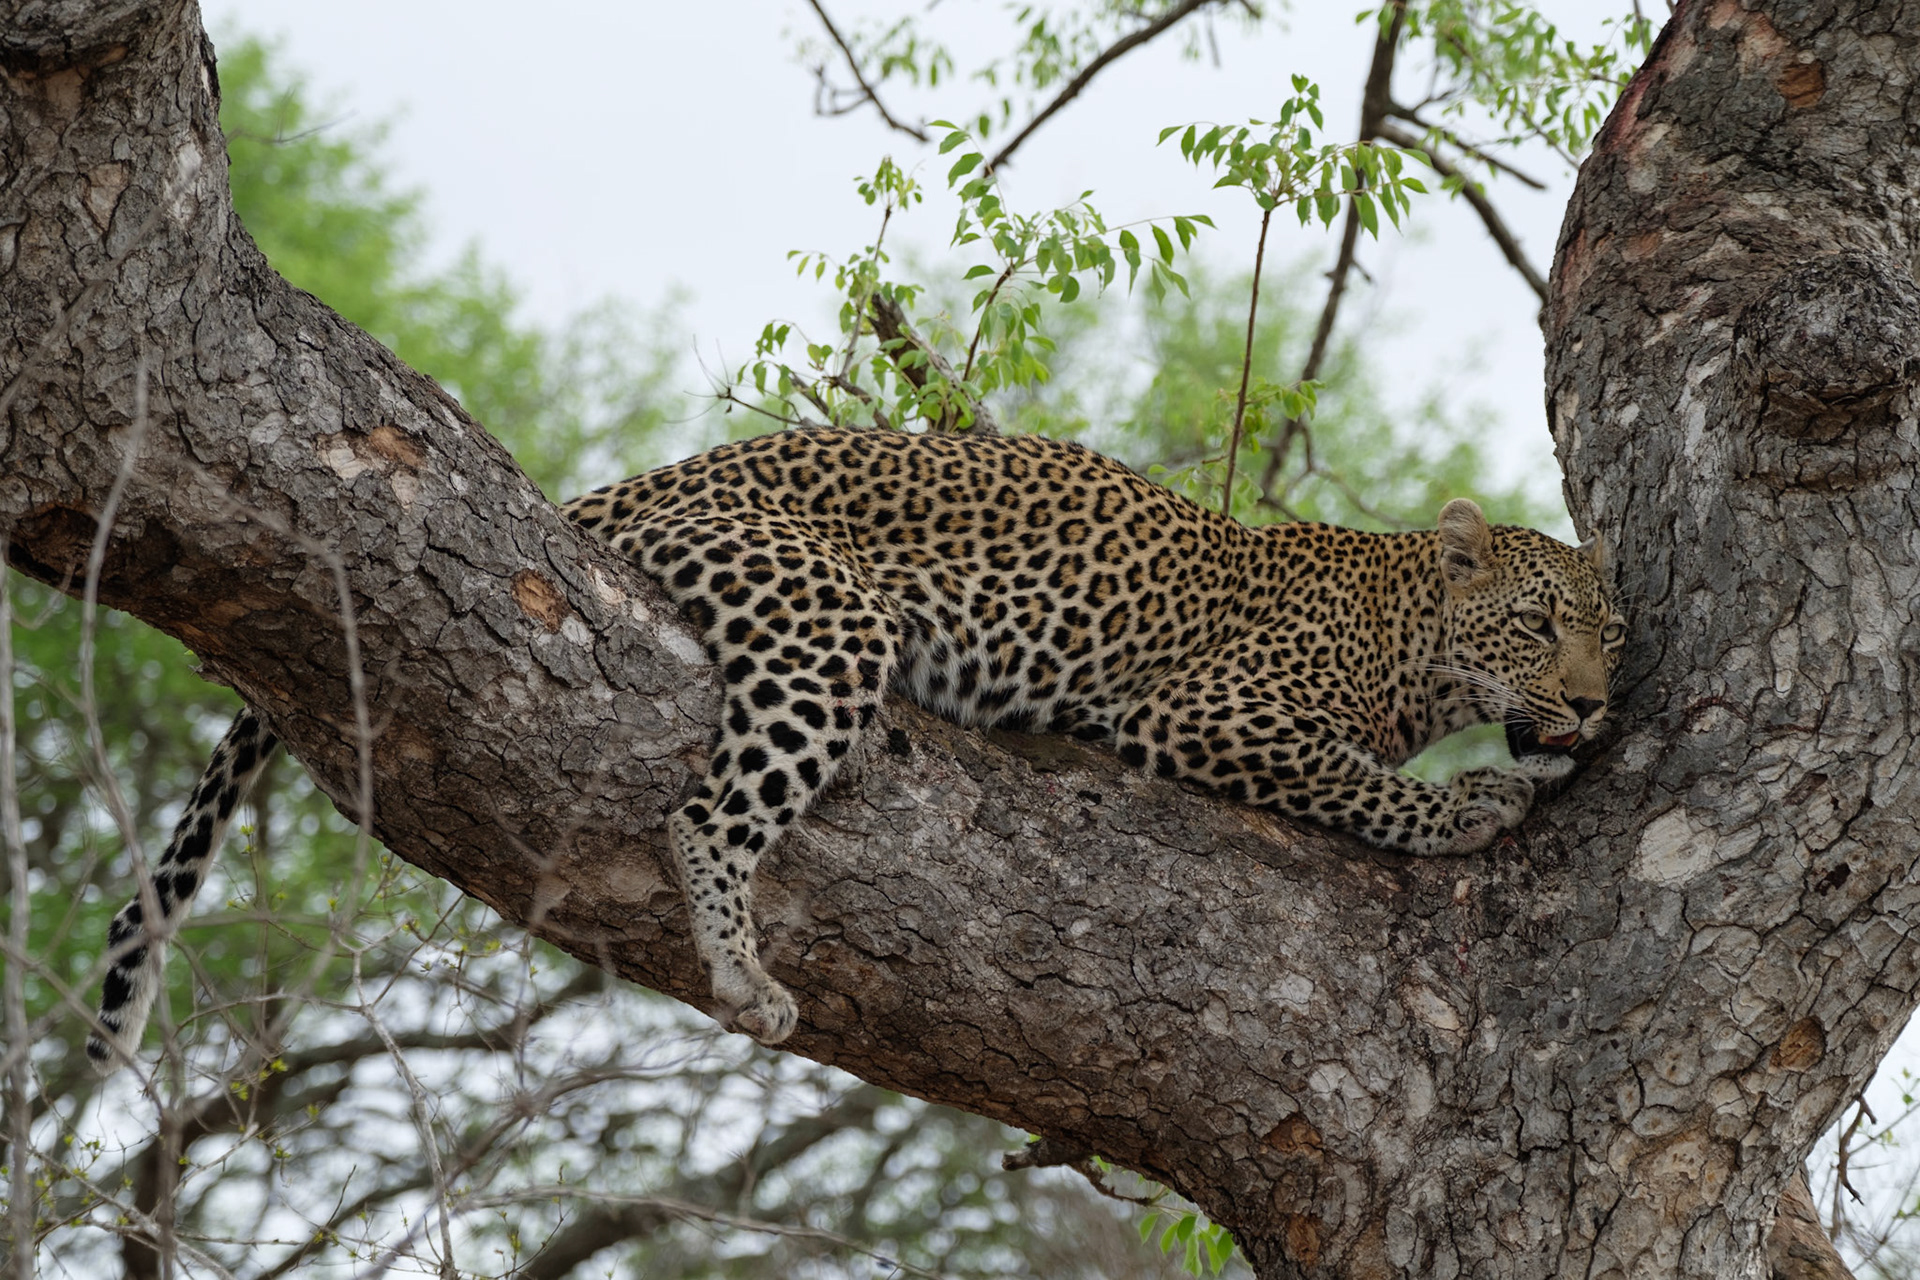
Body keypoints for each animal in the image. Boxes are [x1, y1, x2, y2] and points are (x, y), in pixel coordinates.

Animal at [87, 427, 1623, 1066]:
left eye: (1612, 634)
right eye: (1540, 624)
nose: (1603, 703)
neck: (1412, 637)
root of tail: (618, 488)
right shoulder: (1201, 710)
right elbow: (1354, 776)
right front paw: (1470, 804)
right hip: (825, 617)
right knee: (708, 814)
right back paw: (741, 969)